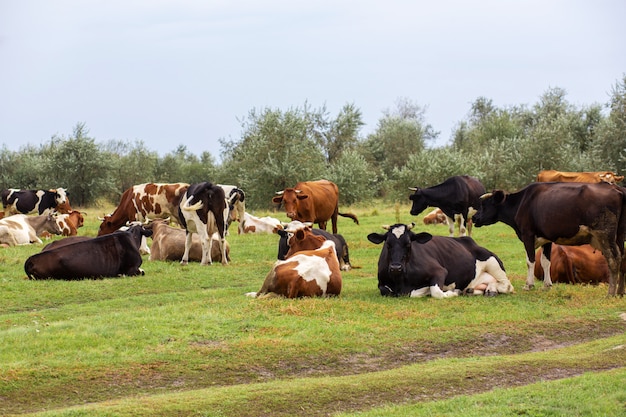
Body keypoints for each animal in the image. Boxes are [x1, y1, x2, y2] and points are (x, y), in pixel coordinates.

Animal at [366, 223, 512, 298]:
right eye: (388, 244)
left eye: (408, 244)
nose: (396, 267)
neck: (401, 280)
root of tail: (469, 241)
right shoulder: (381, 283)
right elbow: (385, 291)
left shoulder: (439, 271)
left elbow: (435, 291)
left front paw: (452, 292)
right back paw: (483, 289)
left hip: (492, 262)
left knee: (507, 285)